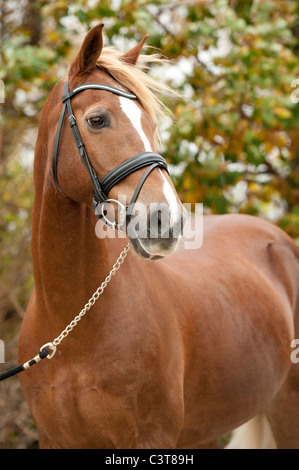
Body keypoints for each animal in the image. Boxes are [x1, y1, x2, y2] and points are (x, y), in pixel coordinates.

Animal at [18, 23, 299, 450]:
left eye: (151, 125)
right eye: (97, 120)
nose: (165, 222)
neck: (72, 328)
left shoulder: (152, 437)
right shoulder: (55, 440)